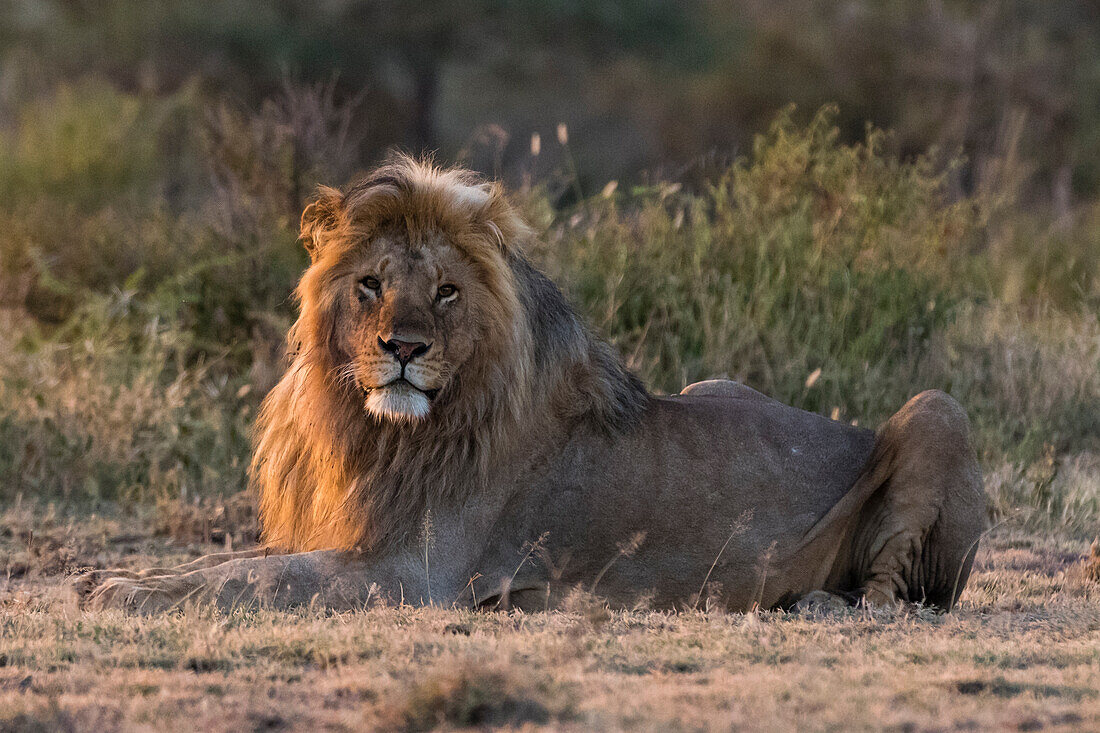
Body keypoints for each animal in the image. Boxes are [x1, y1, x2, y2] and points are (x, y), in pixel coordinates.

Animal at [79, 157, 990, 611]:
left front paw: (120, 588)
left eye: (447, 291)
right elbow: (237, 561)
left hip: (938, 410)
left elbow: (259, 579)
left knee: (901, 593)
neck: (379, 430)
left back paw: (821, 603)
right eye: (370, 284)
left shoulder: (414, 572)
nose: (402, 347)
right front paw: (119, 577)